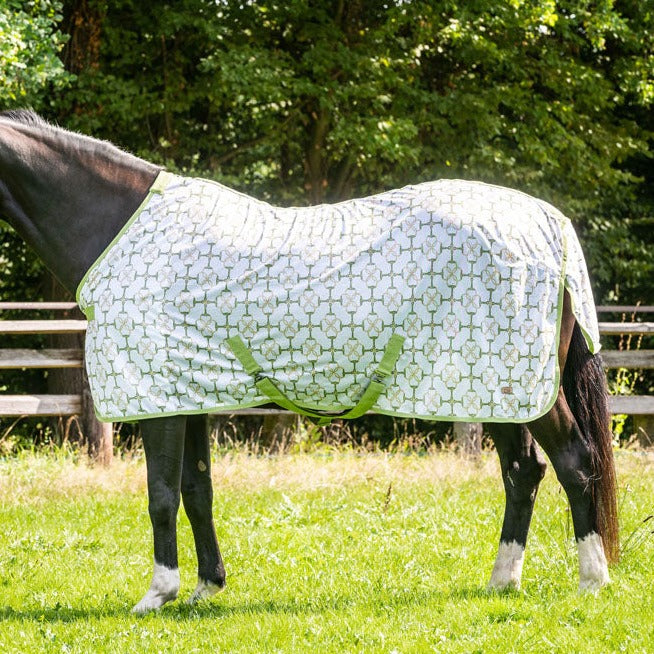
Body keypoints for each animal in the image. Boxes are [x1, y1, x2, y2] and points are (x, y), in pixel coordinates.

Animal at [0, 109, 618, 612]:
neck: (121, 231)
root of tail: (552, 225)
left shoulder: (160, 403)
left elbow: (161, 496)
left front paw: (158, 593)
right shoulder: (191, 393)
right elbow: (198, 491)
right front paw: (206, 587)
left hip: (519, 388)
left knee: (573, 461)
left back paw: (591, 582)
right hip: (493, 388)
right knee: (524, 473)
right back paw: (502, 581)